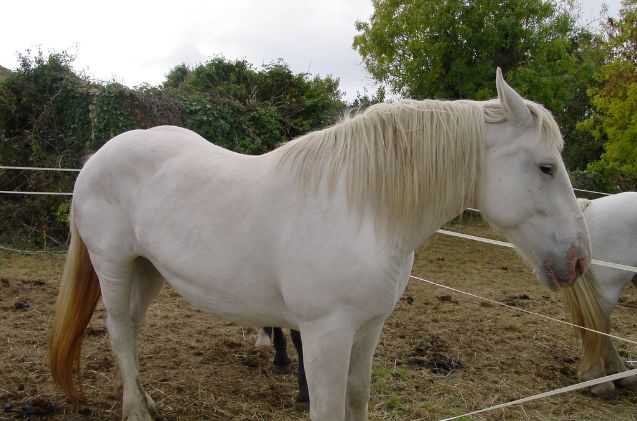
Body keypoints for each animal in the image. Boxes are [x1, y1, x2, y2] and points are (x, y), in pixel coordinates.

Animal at [49, 69, 592, 420]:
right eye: (546, 167)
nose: (579, 260)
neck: (362, 209)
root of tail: (98, 157)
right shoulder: (325, 335)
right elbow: (328, 407)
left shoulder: (367, 331)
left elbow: (356, 400)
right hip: (115, 266)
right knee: (120, 334)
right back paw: (136, 411)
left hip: (148, 269)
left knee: (132, 331)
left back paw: (145, 399)